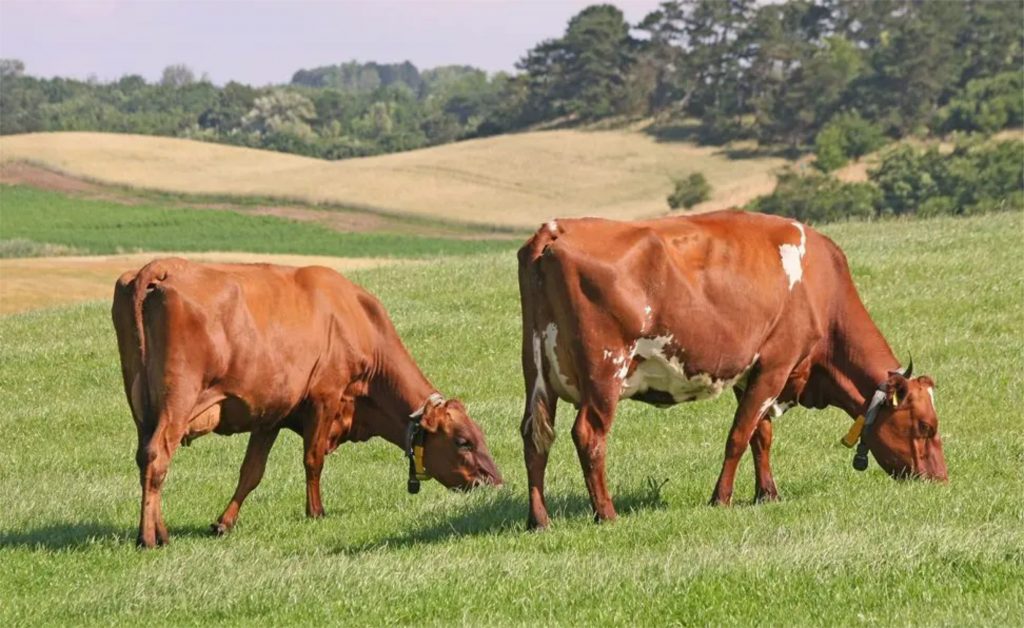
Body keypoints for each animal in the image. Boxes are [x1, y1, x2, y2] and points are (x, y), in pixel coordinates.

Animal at [113, 257, 503, 545]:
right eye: (464, 442)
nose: (497, 483)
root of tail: (164, 266)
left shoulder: (270, 413)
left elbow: (251, 472)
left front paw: (224, 522)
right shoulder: (325, 397)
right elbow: (313, 460)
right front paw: (316, 512)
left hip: (140, 405)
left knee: (144, 457)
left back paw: (160, 531)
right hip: (177, 399)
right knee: (158, 456)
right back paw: (149, 539)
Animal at [516, 212, 946, 528]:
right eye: (926, 427)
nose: (941, 479)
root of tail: (557, 228)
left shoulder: (751, 372)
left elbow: (761, 434)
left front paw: (767, 493)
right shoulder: (776, 363)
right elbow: (739, 435)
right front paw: (721, 498)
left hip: (536, 373)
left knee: (535, 438)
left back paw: (539, 520)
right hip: (606, 372)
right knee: (589, 435)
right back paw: (606, 514)